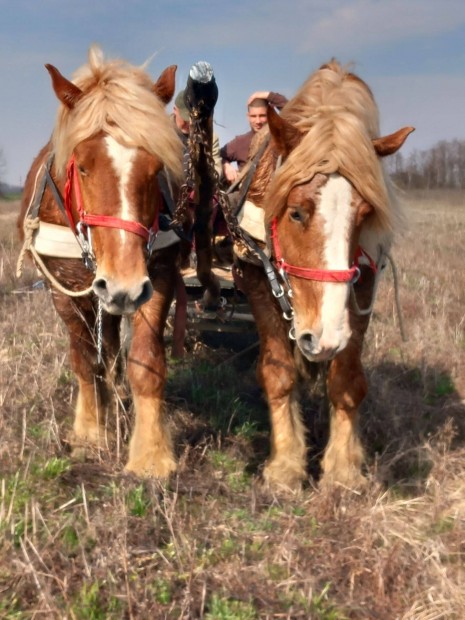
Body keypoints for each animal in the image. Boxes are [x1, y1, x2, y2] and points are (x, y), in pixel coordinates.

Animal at [17, 46, 188, 478]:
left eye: (156, 168)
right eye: (83, 164)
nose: (124, 284)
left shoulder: (156, 277)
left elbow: (145, 360)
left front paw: (150, 453)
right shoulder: (64, 289)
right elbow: (84, 361)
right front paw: (89, 432)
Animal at [232, 60, 414, 492]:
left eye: (364, 215)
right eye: (296, 212)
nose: (323, 338)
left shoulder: (363, 283)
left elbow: (346, 380)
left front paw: (343, 468)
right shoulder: (256, 279)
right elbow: (278, 373)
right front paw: (285, 464)